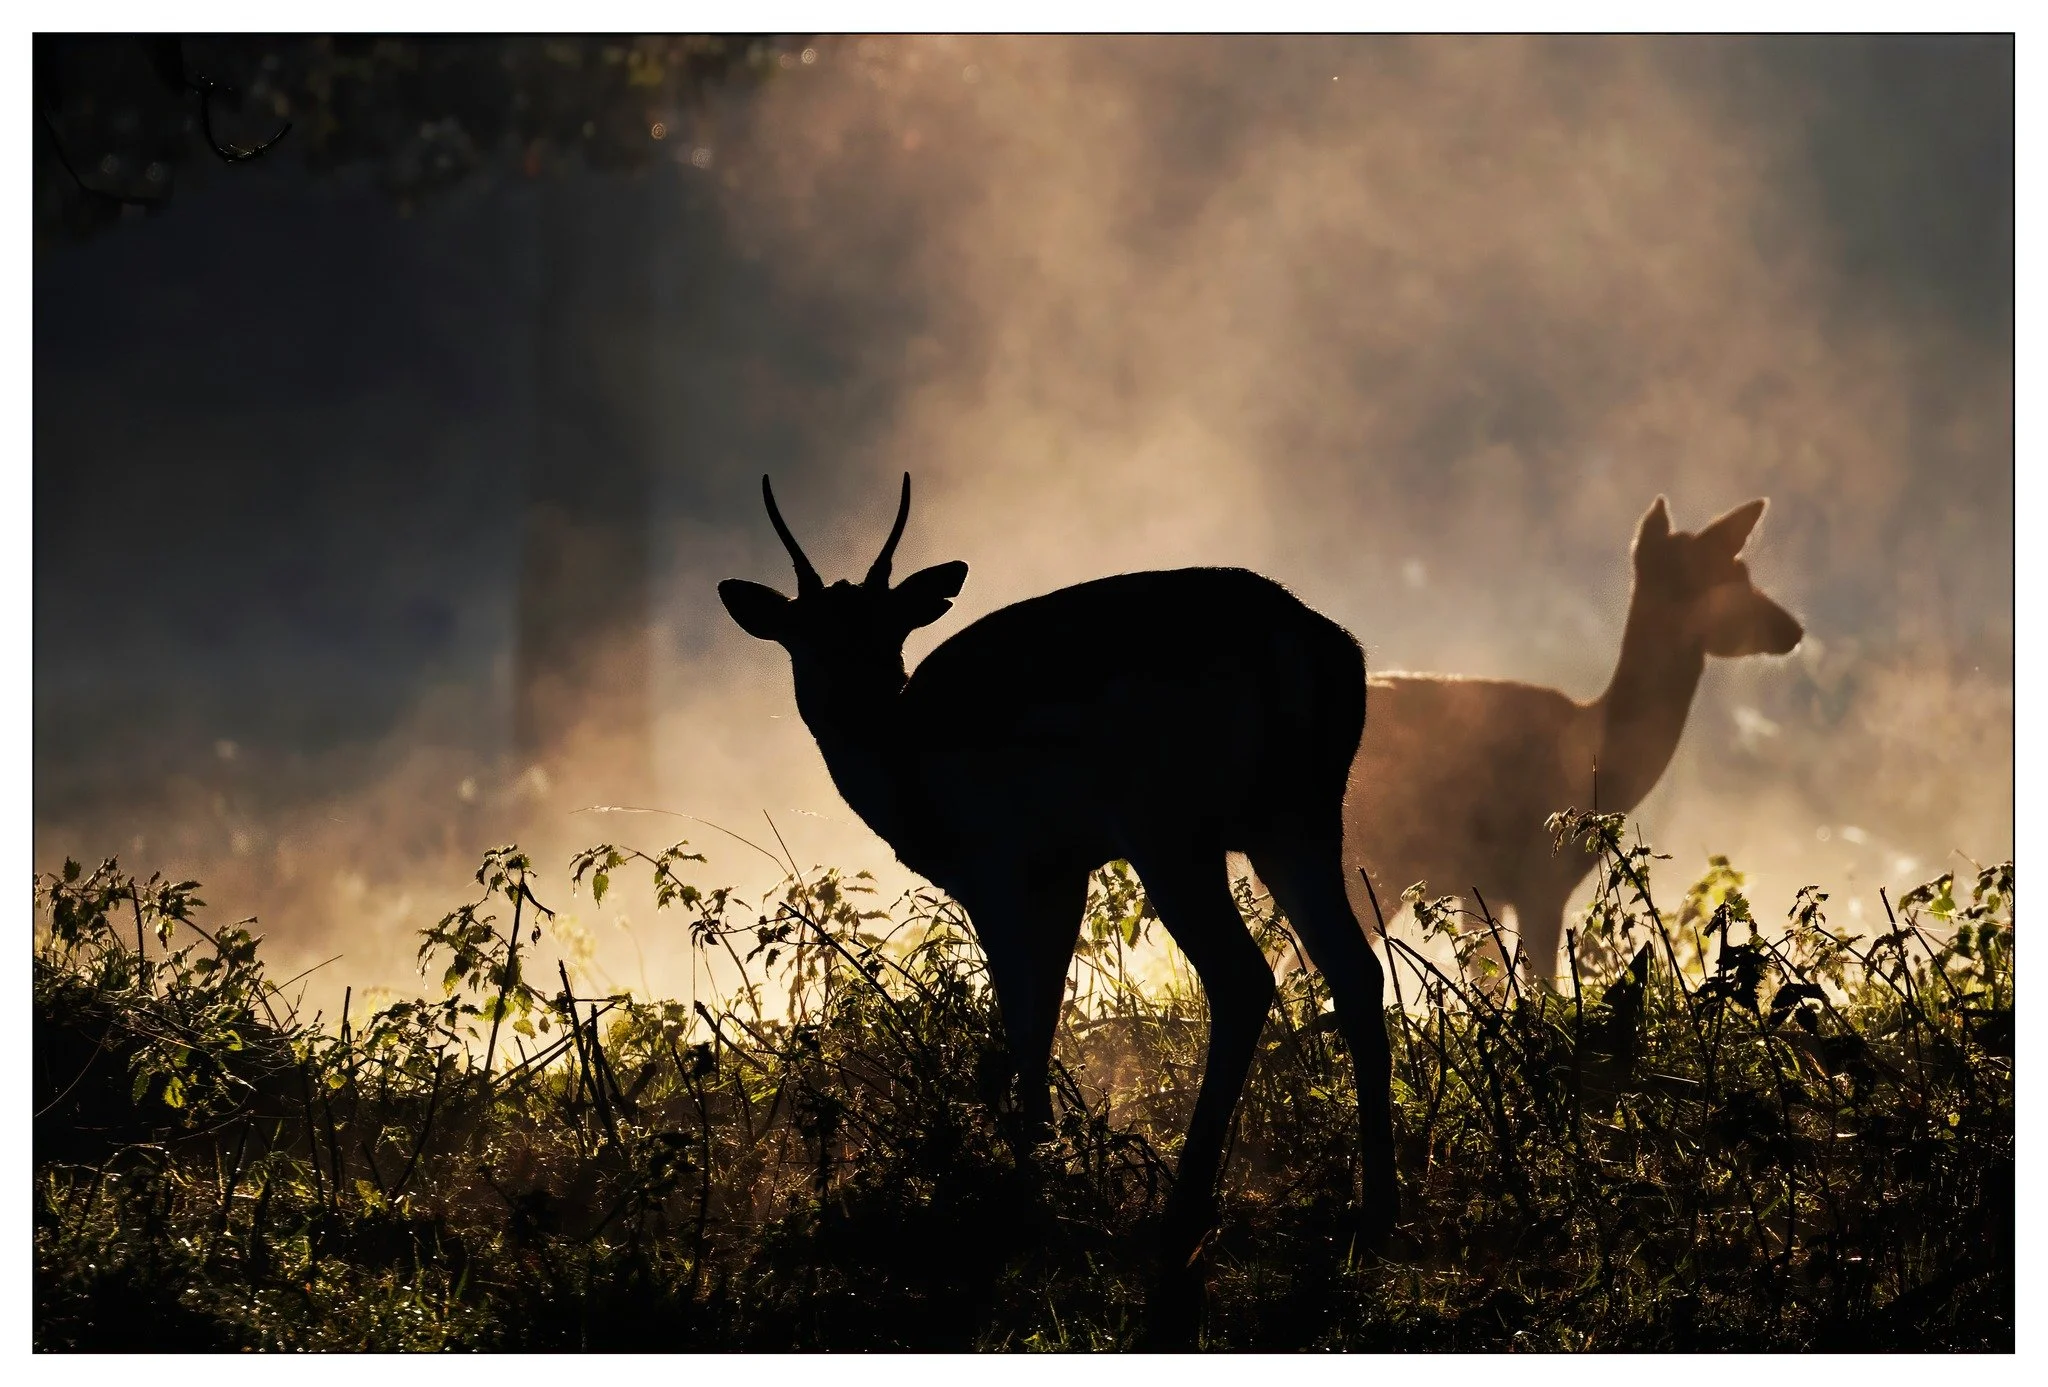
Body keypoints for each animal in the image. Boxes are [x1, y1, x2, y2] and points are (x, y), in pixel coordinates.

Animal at [719, 474, 1397, 1269]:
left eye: (888, 632)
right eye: (804, 633)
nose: (851, 706)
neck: (910, 785)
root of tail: (1304, 646)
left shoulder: (995, 864)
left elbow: (1021, 1014)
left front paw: (1034, 1191)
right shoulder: (1063, 868)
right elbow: (1046, 1009)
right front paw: (1054, 1166)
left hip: (1170, 826)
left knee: (1243, 977)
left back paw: (1185, 1214)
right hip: (1300, 818)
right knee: (1357, 970)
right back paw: (1379, 1210)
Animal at [1343, 495, 1804, 987]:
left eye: (1743, 571)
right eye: (1722, 577)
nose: (1792, 629)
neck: (1598, 748)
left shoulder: (1483, 885)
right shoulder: (1541, 876)